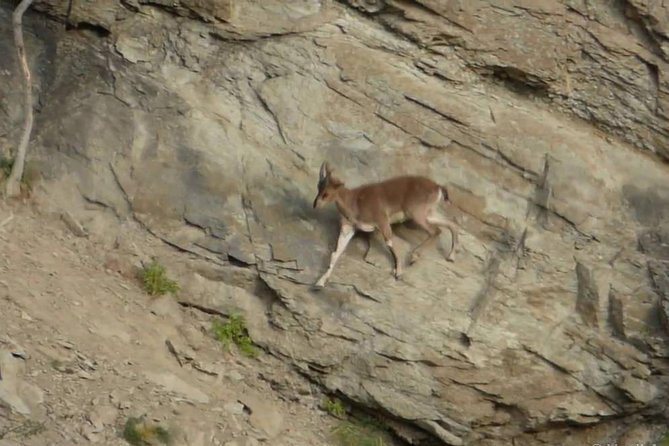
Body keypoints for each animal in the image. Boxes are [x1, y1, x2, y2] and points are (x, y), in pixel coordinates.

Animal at [312, 161, 458, 288]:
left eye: (326, 193)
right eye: (318, 187)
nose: (315, 205)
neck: (355, 201)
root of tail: (437, 187)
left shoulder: (382, 221)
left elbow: (389, 243)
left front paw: (398, 272)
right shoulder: (348, 229)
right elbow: (335, 254)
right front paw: (320, 282)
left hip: (417, 214)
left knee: (435, 231)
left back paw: (414, 257)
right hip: (428, 214)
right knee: (450, 224)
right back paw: (451, 256)